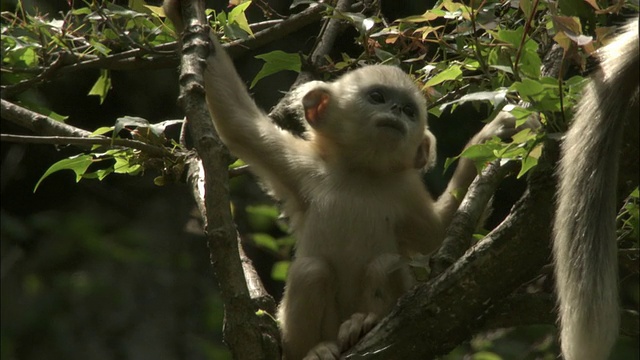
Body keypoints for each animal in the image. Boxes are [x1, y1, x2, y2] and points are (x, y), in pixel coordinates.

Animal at [164, 1, 524, 358]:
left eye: (410, 111)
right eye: (378, 97)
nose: (397, 111)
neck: (360, 173)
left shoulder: (406, 191)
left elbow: (437, 235)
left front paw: (491, 137)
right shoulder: (303, 166)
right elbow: (239, 124)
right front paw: (183, 17)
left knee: (385, 264)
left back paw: (361, 324)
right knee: (311, 272)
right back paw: (318, 348)